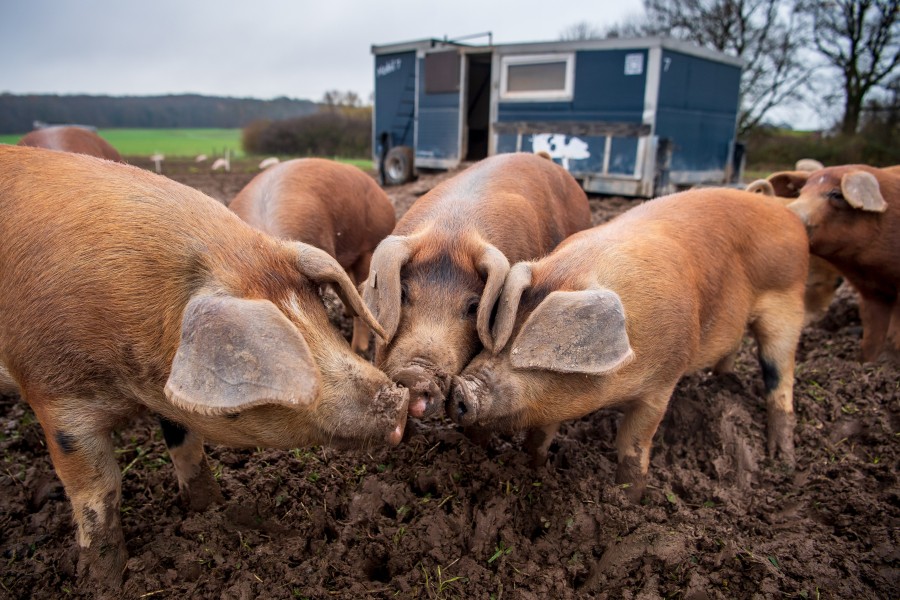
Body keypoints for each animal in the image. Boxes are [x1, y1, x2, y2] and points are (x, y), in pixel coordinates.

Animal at [450, 188, 808, 502]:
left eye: (531, 349)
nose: (459, 388)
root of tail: (786, 211)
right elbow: (541, 433)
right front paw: (535, 467)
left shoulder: (662, 384)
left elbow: (632, 444)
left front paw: (628, 501)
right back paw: (721, 381)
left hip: (787, 306)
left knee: (780, 377)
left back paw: (782, 458)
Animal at [784, 163, 900, 360]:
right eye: (801, 192)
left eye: (836, 194)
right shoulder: (872, 291)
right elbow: (872, 331)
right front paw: (867, 361)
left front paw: (887, 361)